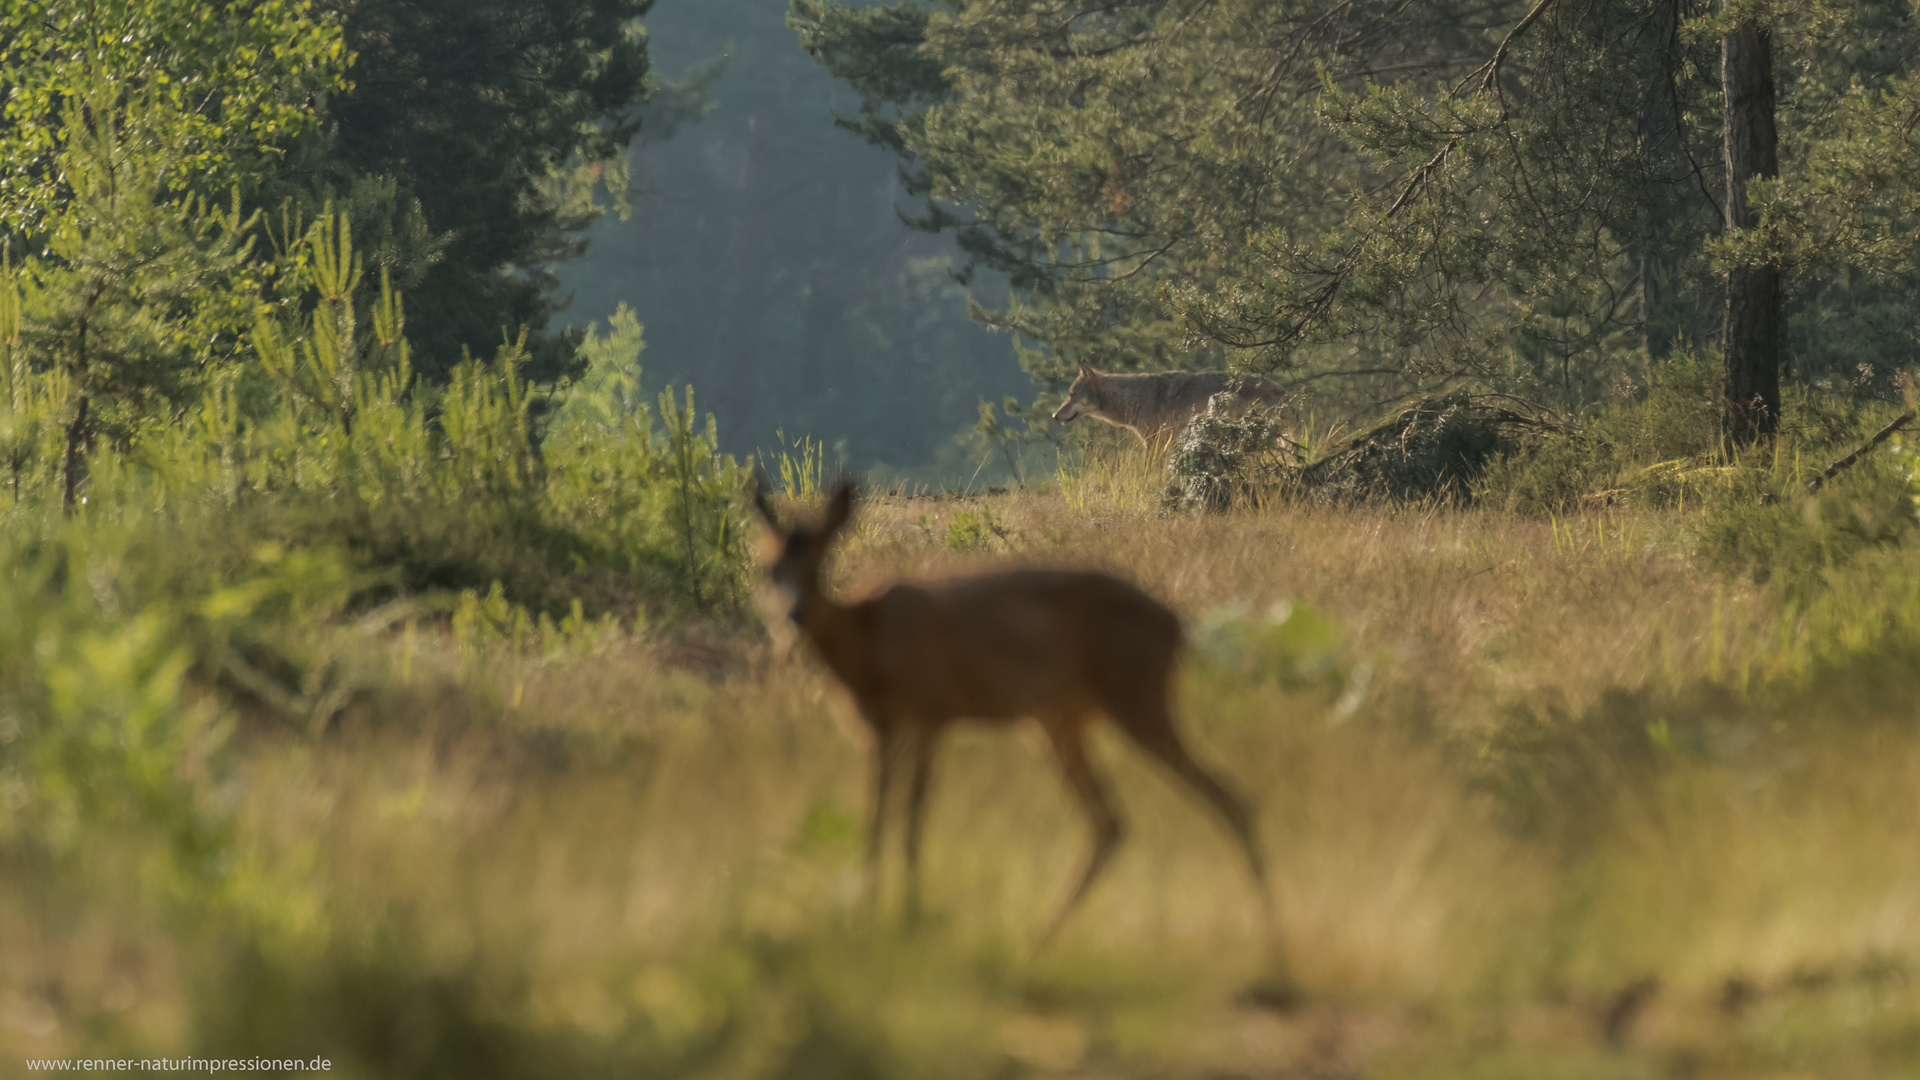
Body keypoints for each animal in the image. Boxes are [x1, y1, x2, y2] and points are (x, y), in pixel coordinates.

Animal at [752, 480, 1274, 941]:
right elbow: (885, 820)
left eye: (818, 565)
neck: (865, 638)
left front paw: (895, 922)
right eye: (767, 568)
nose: (790, 617)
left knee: (1227, 801)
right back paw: (1037, 939)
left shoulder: (922, 718)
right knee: (1116, 820)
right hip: (1061, 723)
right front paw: (878, 918)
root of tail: (1176, 625)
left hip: (1135, 705)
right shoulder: (891, 730)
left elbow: (904, 823)